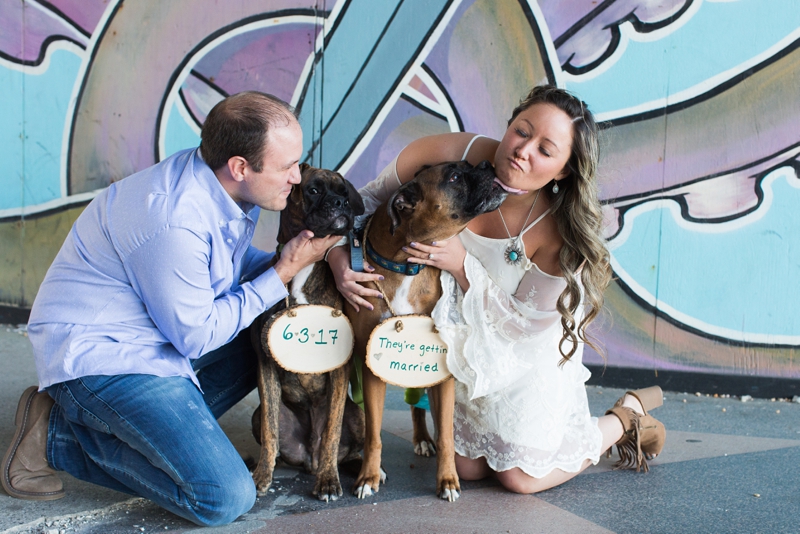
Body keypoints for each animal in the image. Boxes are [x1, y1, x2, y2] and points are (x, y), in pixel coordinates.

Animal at [250, 163, 366, 502]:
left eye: (344, 191)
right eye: (313, 189)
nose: (341, 204)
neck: (300, 273)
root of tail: (308, 460)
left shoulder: (340, 370)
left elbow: (331, 432)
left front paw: (328, 481)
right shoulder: (264, 365)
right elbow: (270, 431)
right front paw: (262, 476)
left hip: (358, 415)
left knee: (347, 449)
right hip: (258, 416)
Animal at [348, 159, 506, 502]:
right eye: (455, 176)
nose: (487, 163)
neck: (407, 265)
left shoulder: (442, 373)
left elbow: (446, 433)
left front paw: (447, 480)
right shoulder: (371, 369)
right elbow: (373, 433)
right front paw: (369, 476)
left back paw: (422, 438)